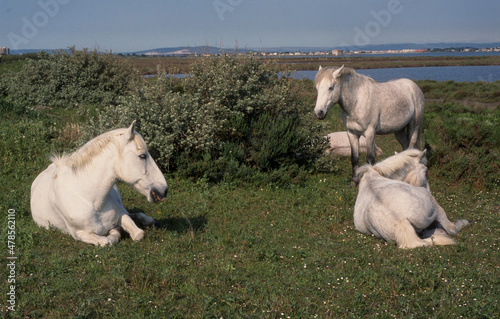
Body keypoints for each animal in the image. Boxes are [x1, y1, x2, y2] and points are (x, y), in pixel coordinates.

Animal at [31, 121, 168, 246]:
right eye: (142, 156)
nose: (164, 190)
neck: (90, 200)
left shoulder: (121, 214)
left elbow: (137, 232)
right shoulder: (79, 234)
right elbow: (107, 241)